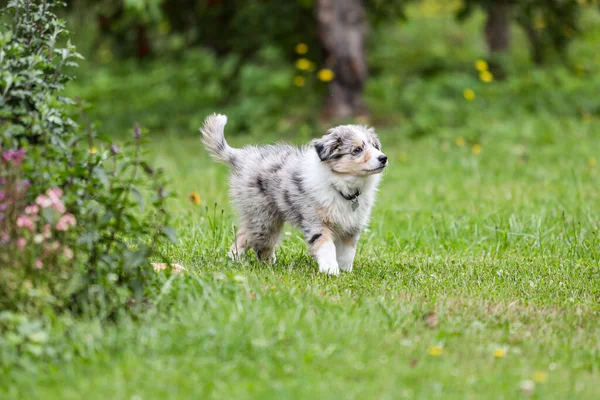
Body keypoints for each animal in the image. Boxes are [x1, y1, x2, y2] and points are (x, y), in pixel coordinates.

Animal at [200, 112, 390, 276]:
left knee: (249, 236)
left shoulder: (352, 225)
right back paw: (245, 262)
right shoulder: (316, 221)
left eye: (374, 146)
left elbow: (348, 252)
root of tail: (243, 157)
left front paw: (345, 271)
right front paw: (330, 270)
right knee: (252, 240)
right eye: (357, 150)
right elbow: (326, 246)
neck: (342, 186)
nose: (383, 158)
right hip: (263, 217)